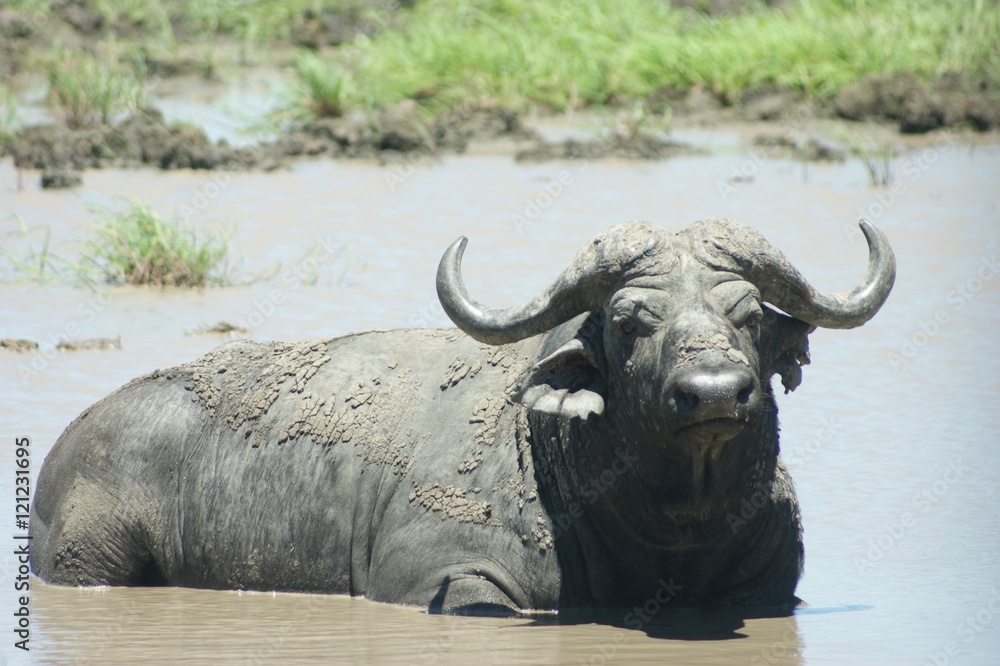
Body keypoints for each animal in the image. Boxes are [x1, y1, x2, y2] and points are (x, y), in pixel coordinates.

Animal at [30, 218, 895, 614]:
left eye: (746, 315)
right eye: (628, 322)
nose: (714, 391)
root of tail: (68, 445)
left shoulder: (770, 588)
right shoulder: (440, 581)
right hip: (89, 561)